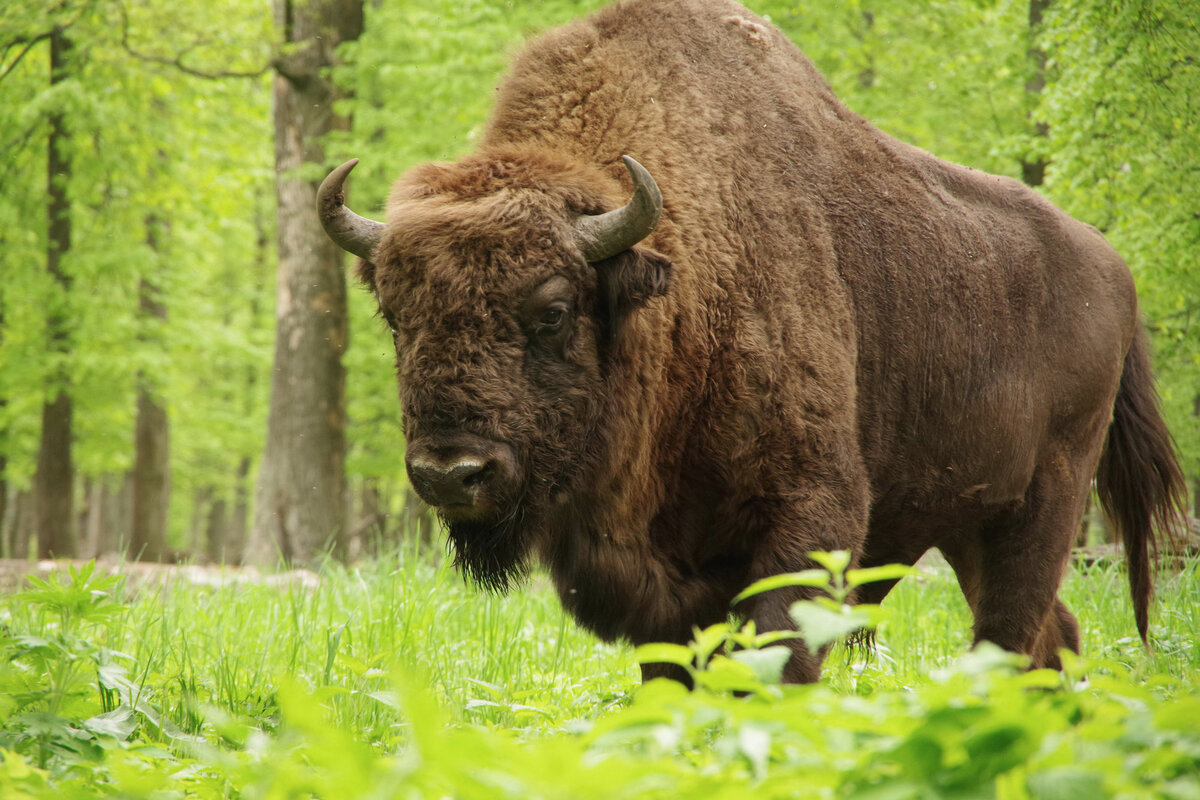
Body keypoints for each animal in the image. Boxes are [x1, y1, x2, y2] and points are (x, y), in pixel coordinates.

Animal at [314, 0, 1185, 681]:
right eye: (394, 313)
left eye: (553, 311)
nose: (450, 473)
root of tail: (1117, 272)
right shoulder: (660, 586)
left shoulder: (809, 521)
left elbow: (774, 662)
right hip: (969, 520)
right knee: (1051, 636)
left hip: (1044, 504)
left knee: (1009, 636)